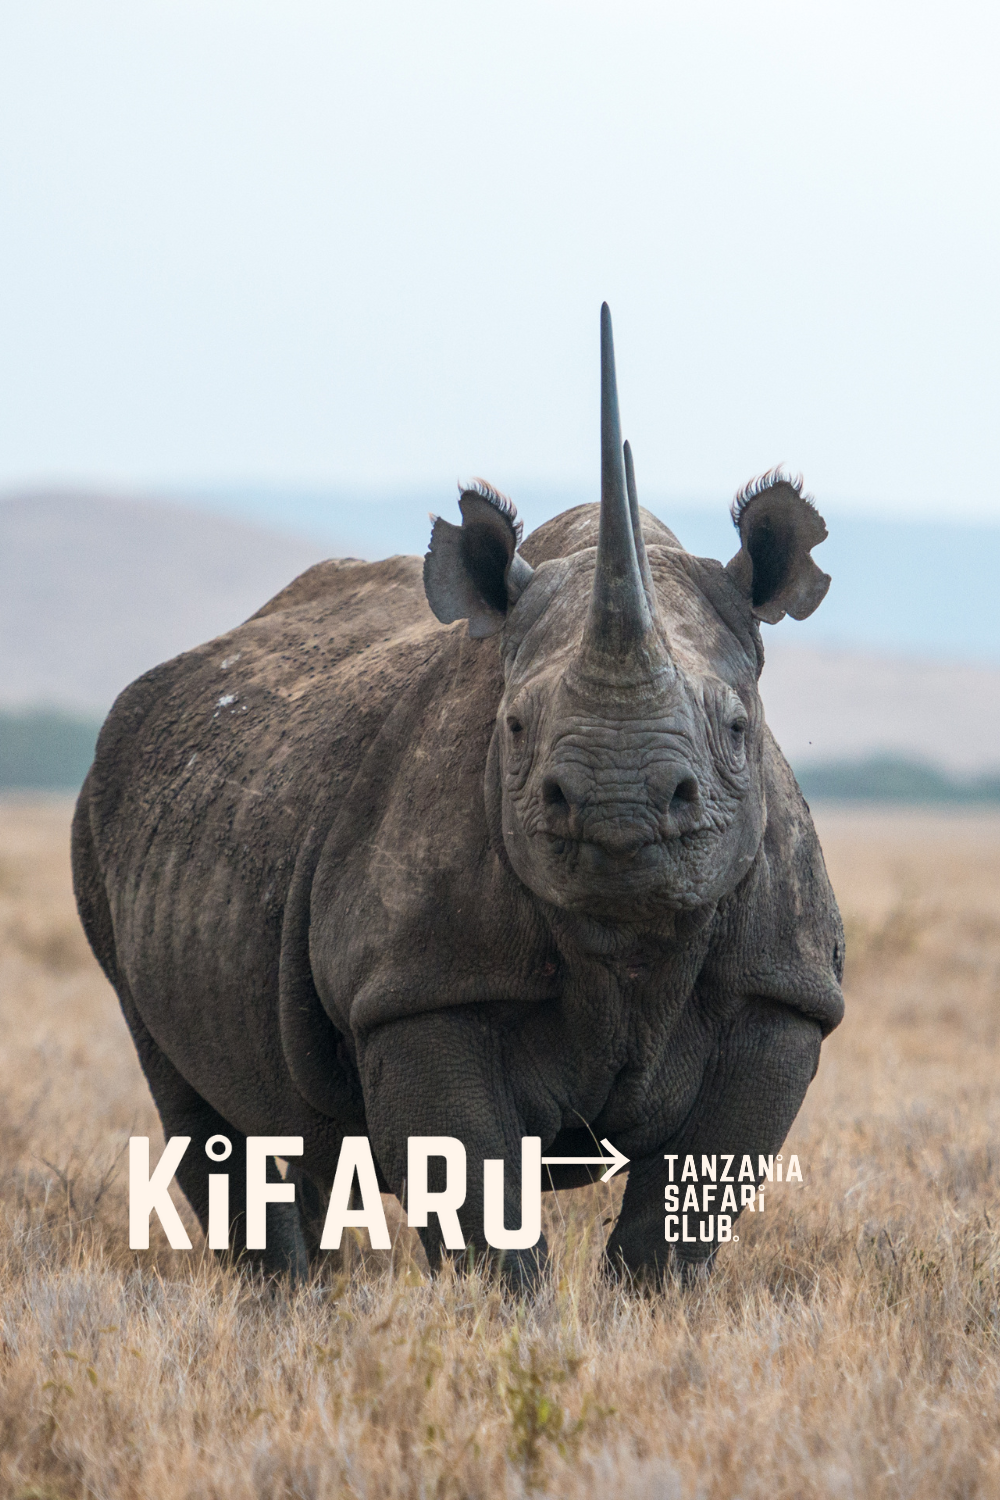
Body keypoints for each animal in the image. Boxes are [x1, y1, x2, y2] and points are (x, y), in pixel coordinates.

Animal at [72, 304, 844, 1286]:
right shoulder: (421, 988)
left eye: (738, 729)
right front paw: (510, 1320)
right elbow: (481, 1213)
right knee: (203, 1113)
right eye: (512, 727)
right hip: (99, 822)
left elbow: (679, 1225)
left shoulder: (780, 990)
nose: (617, 808)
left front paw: (650, 1317)